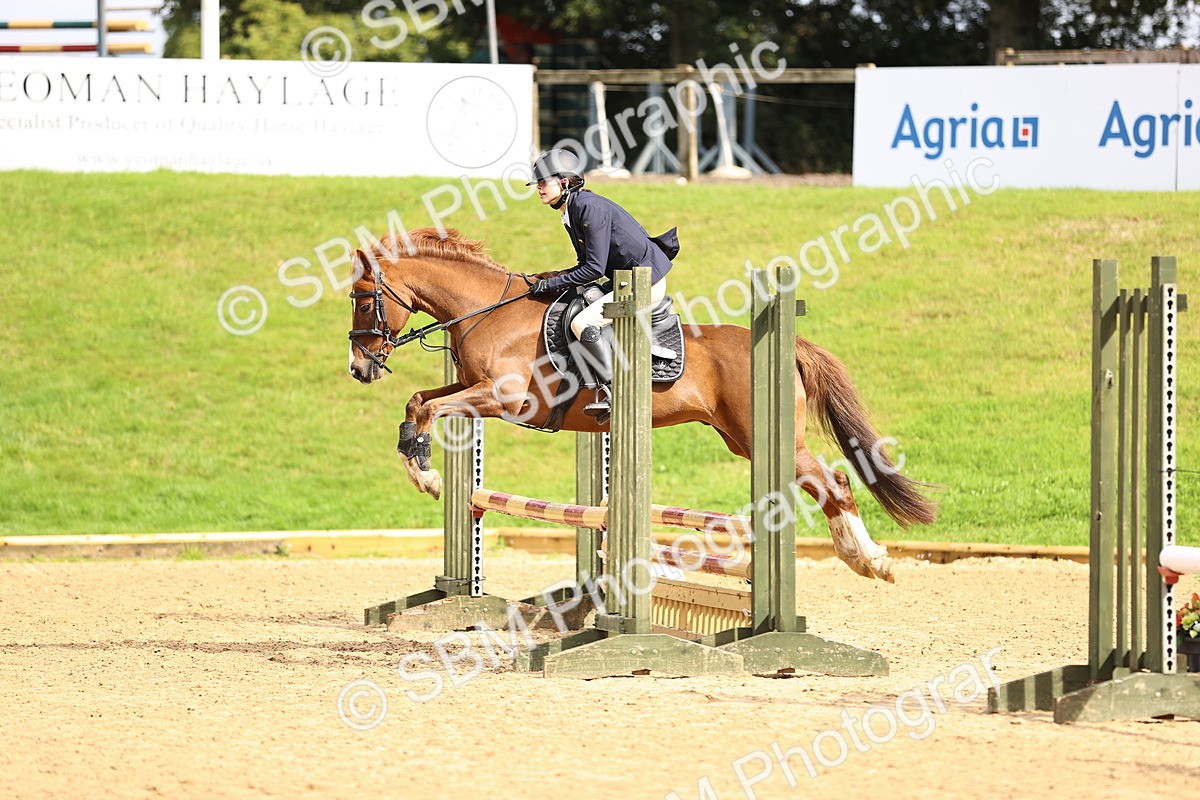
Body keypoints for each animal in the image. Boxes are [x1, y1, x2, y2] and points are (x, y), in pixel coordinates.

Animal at [347, 228, 937, 582]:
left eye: (362, 297)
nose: (359, 367)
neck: (487, 311)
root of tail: (785, 345)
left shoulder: (506, 399)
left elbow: (429, 411)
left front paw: (427, 476)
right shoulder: (473, 390)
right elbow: (418, 401)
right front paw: (418, 461)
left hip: (769, 440)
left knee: (831, 481)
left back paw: (869, 560)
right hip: (744, 441)